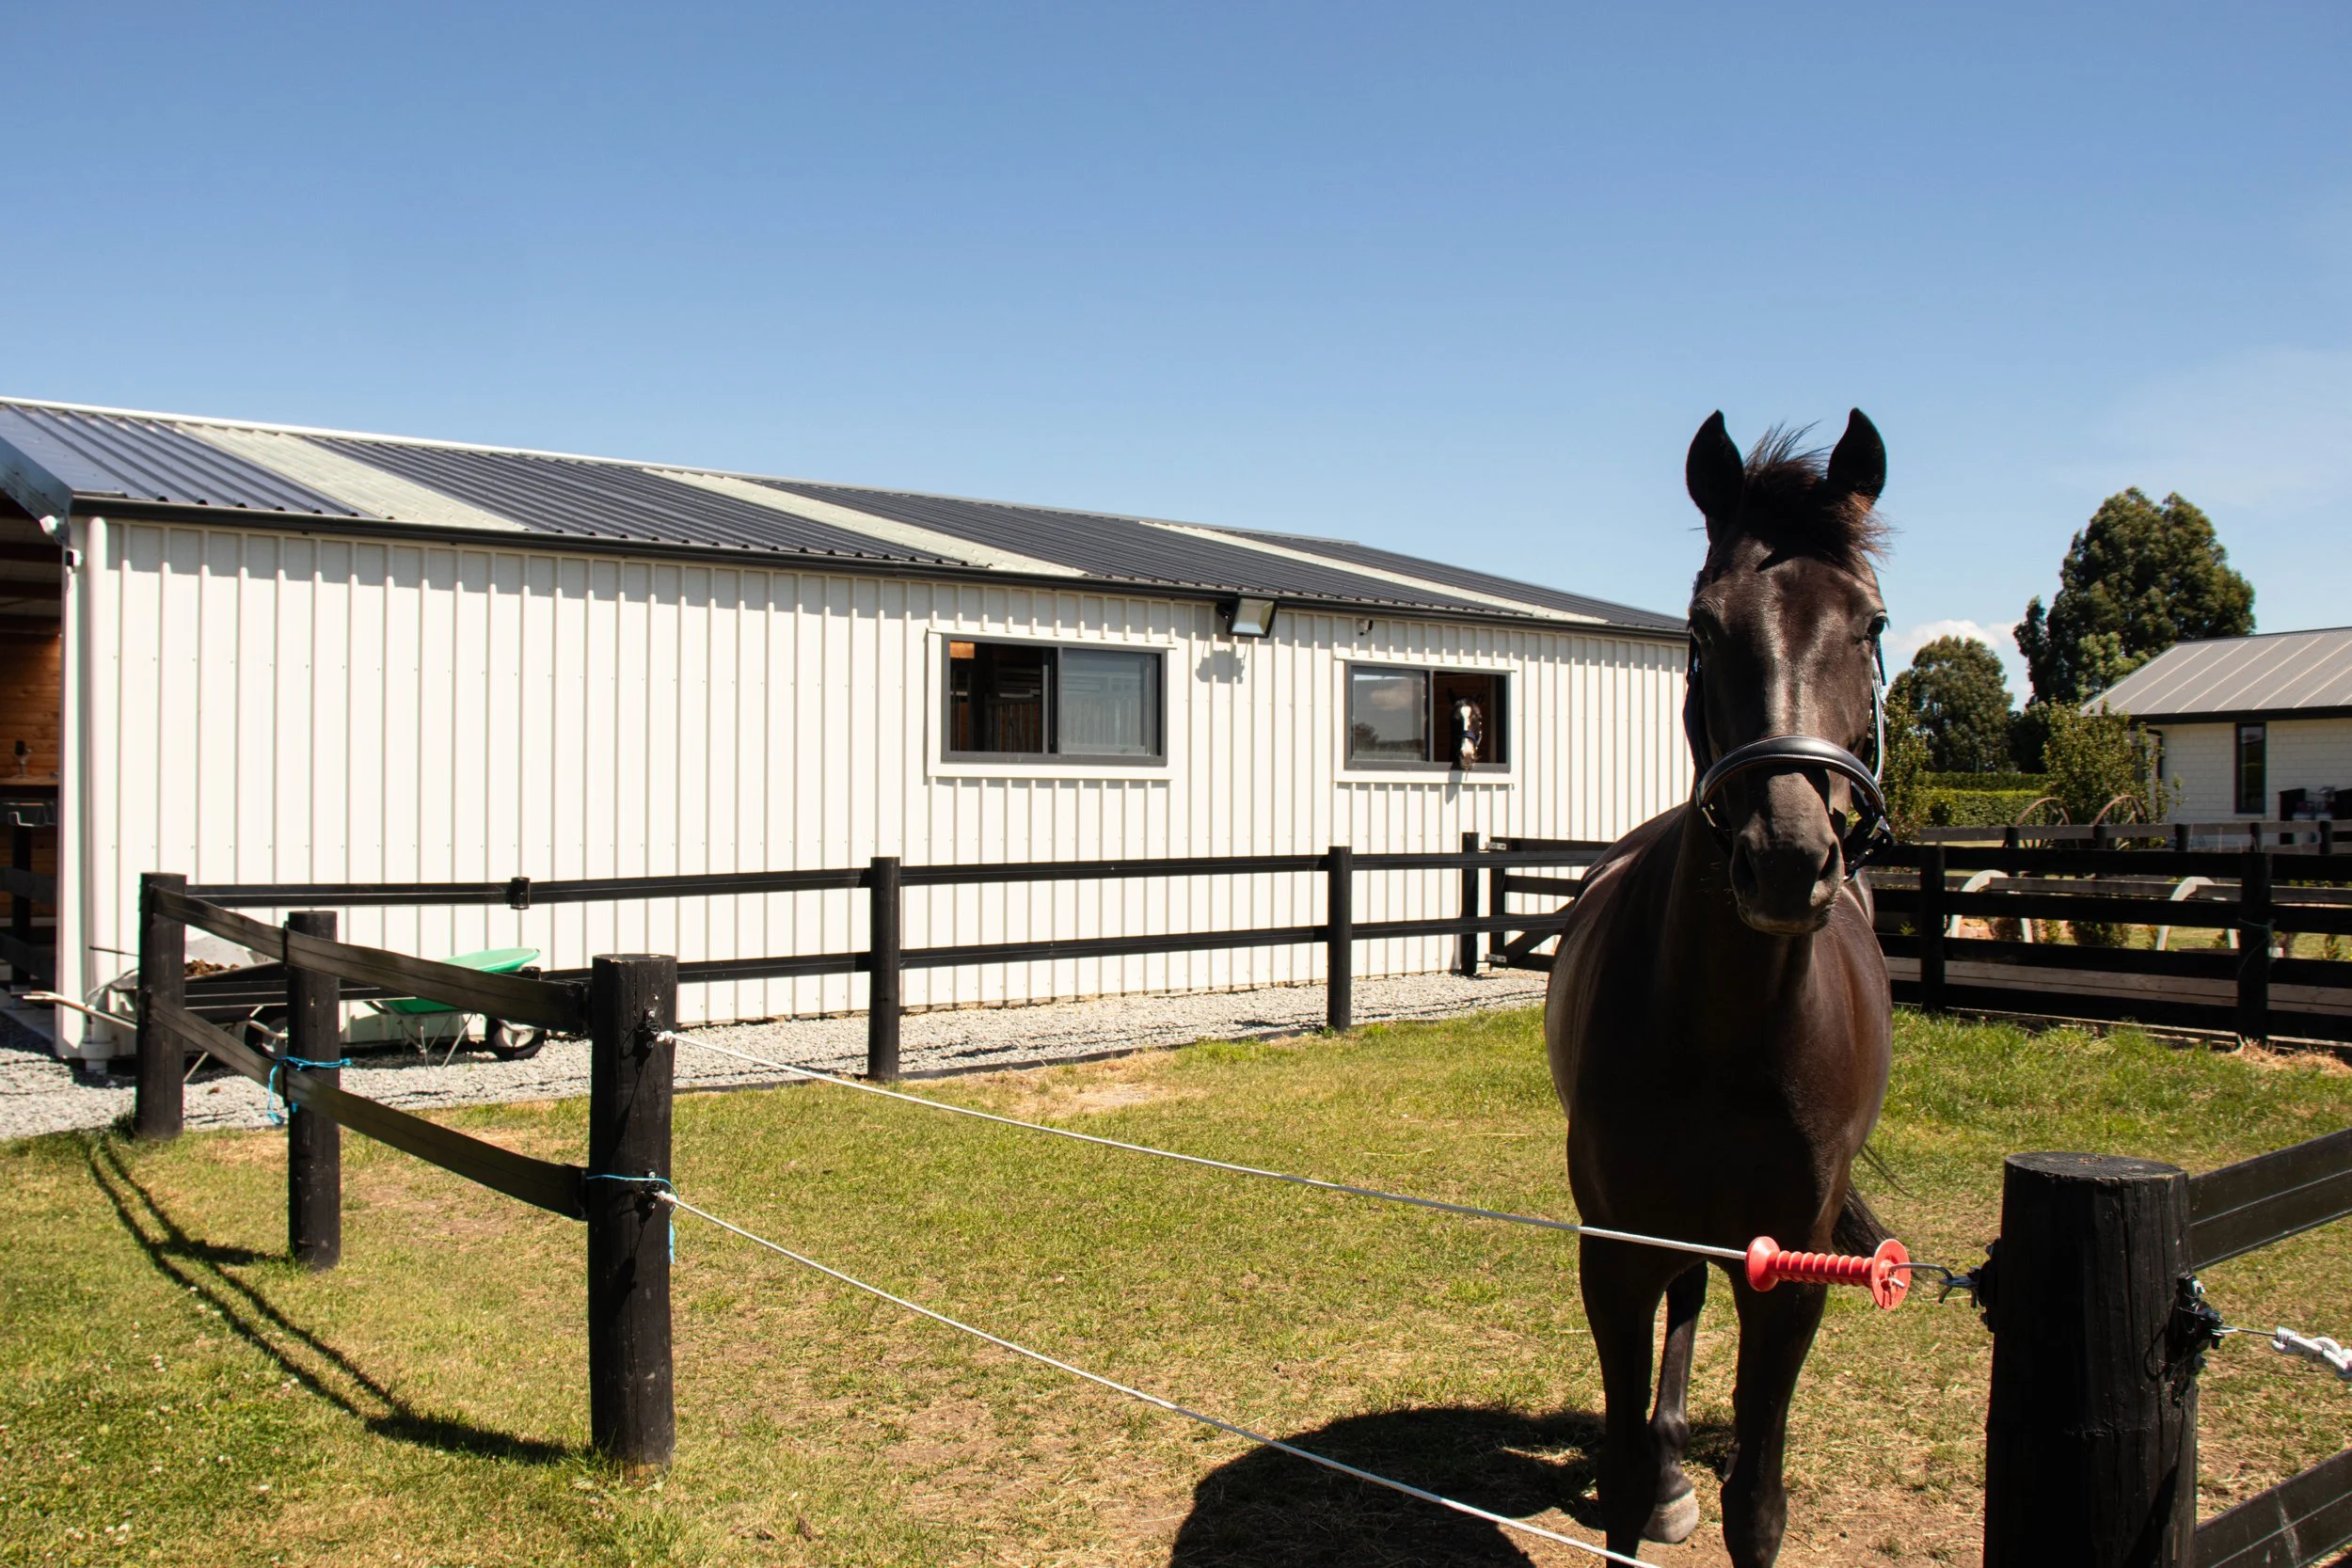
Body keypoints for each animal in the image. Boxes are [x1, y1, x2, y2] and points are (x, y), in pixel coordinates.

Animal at [1544, 409, 1897, 1565]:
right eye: (1701, 626)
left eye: (1870, 623)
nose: (1786, 857)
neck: (1730, 1028)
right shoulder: (1615, 1249)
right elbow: (1615, 1470)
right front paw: (1646, 1488)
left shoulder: (1788, 1274)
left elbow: (1759, 1499)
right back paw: (1666, 1477)